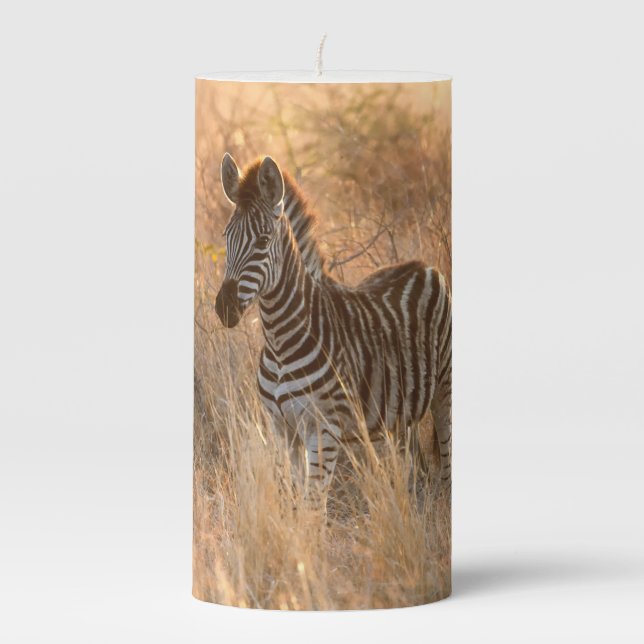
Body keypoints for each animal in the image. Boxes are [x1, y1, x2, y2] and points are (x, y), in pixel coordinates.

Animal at [214, 153, 452, 499]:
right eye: (226, 238)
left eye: (262, 241)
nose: (224, 308)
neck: (279, 341)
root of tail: (423, 265)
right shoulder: (283, 430)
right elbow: (296, 502)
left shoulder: (323, 431)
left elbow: (314, 505)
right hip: (400, 411)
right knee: (413, 465)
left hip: (445, 389)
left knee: (446, 462)